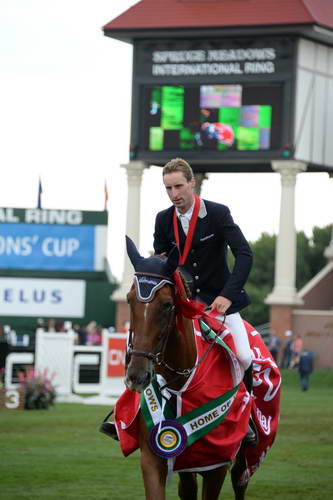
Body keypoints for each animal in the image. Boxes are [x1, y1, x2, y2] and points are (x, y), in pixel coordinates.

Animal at [123, 236, 253, 498]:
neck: (180, 382)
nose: (137, 376)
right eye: (129, 300)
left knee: (240, 481)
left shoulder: (217, 466)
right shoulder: (153, 458)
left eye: (166, 305)